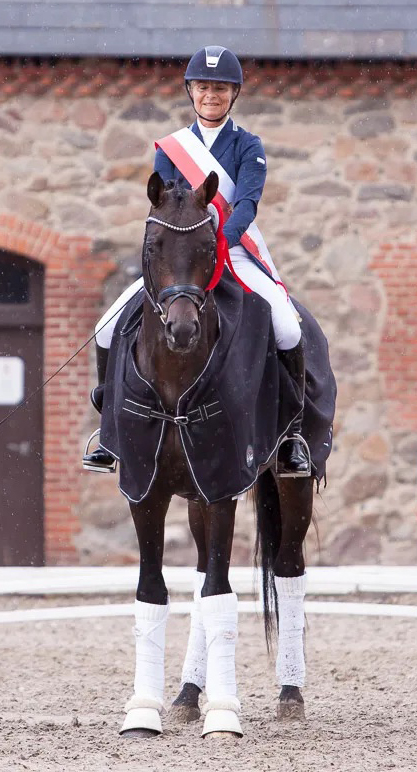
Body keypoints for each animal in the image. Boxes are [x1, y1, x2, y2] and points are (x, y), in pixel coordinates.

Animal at [99, 172, 336, 740]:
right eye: (153, 246)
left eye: (210, 248)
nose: (182, 330)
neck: (175, 380)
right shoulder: (144, 489)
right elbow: (154, 592)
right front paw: (144, 709)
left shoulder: (225, 483)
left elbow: (221, 596)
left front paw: (225, 714)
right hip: (193, 495)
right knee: (202, 573)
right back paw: (187, 694)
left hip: (289, 481)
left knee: (288, 569)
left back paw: (290, 695)